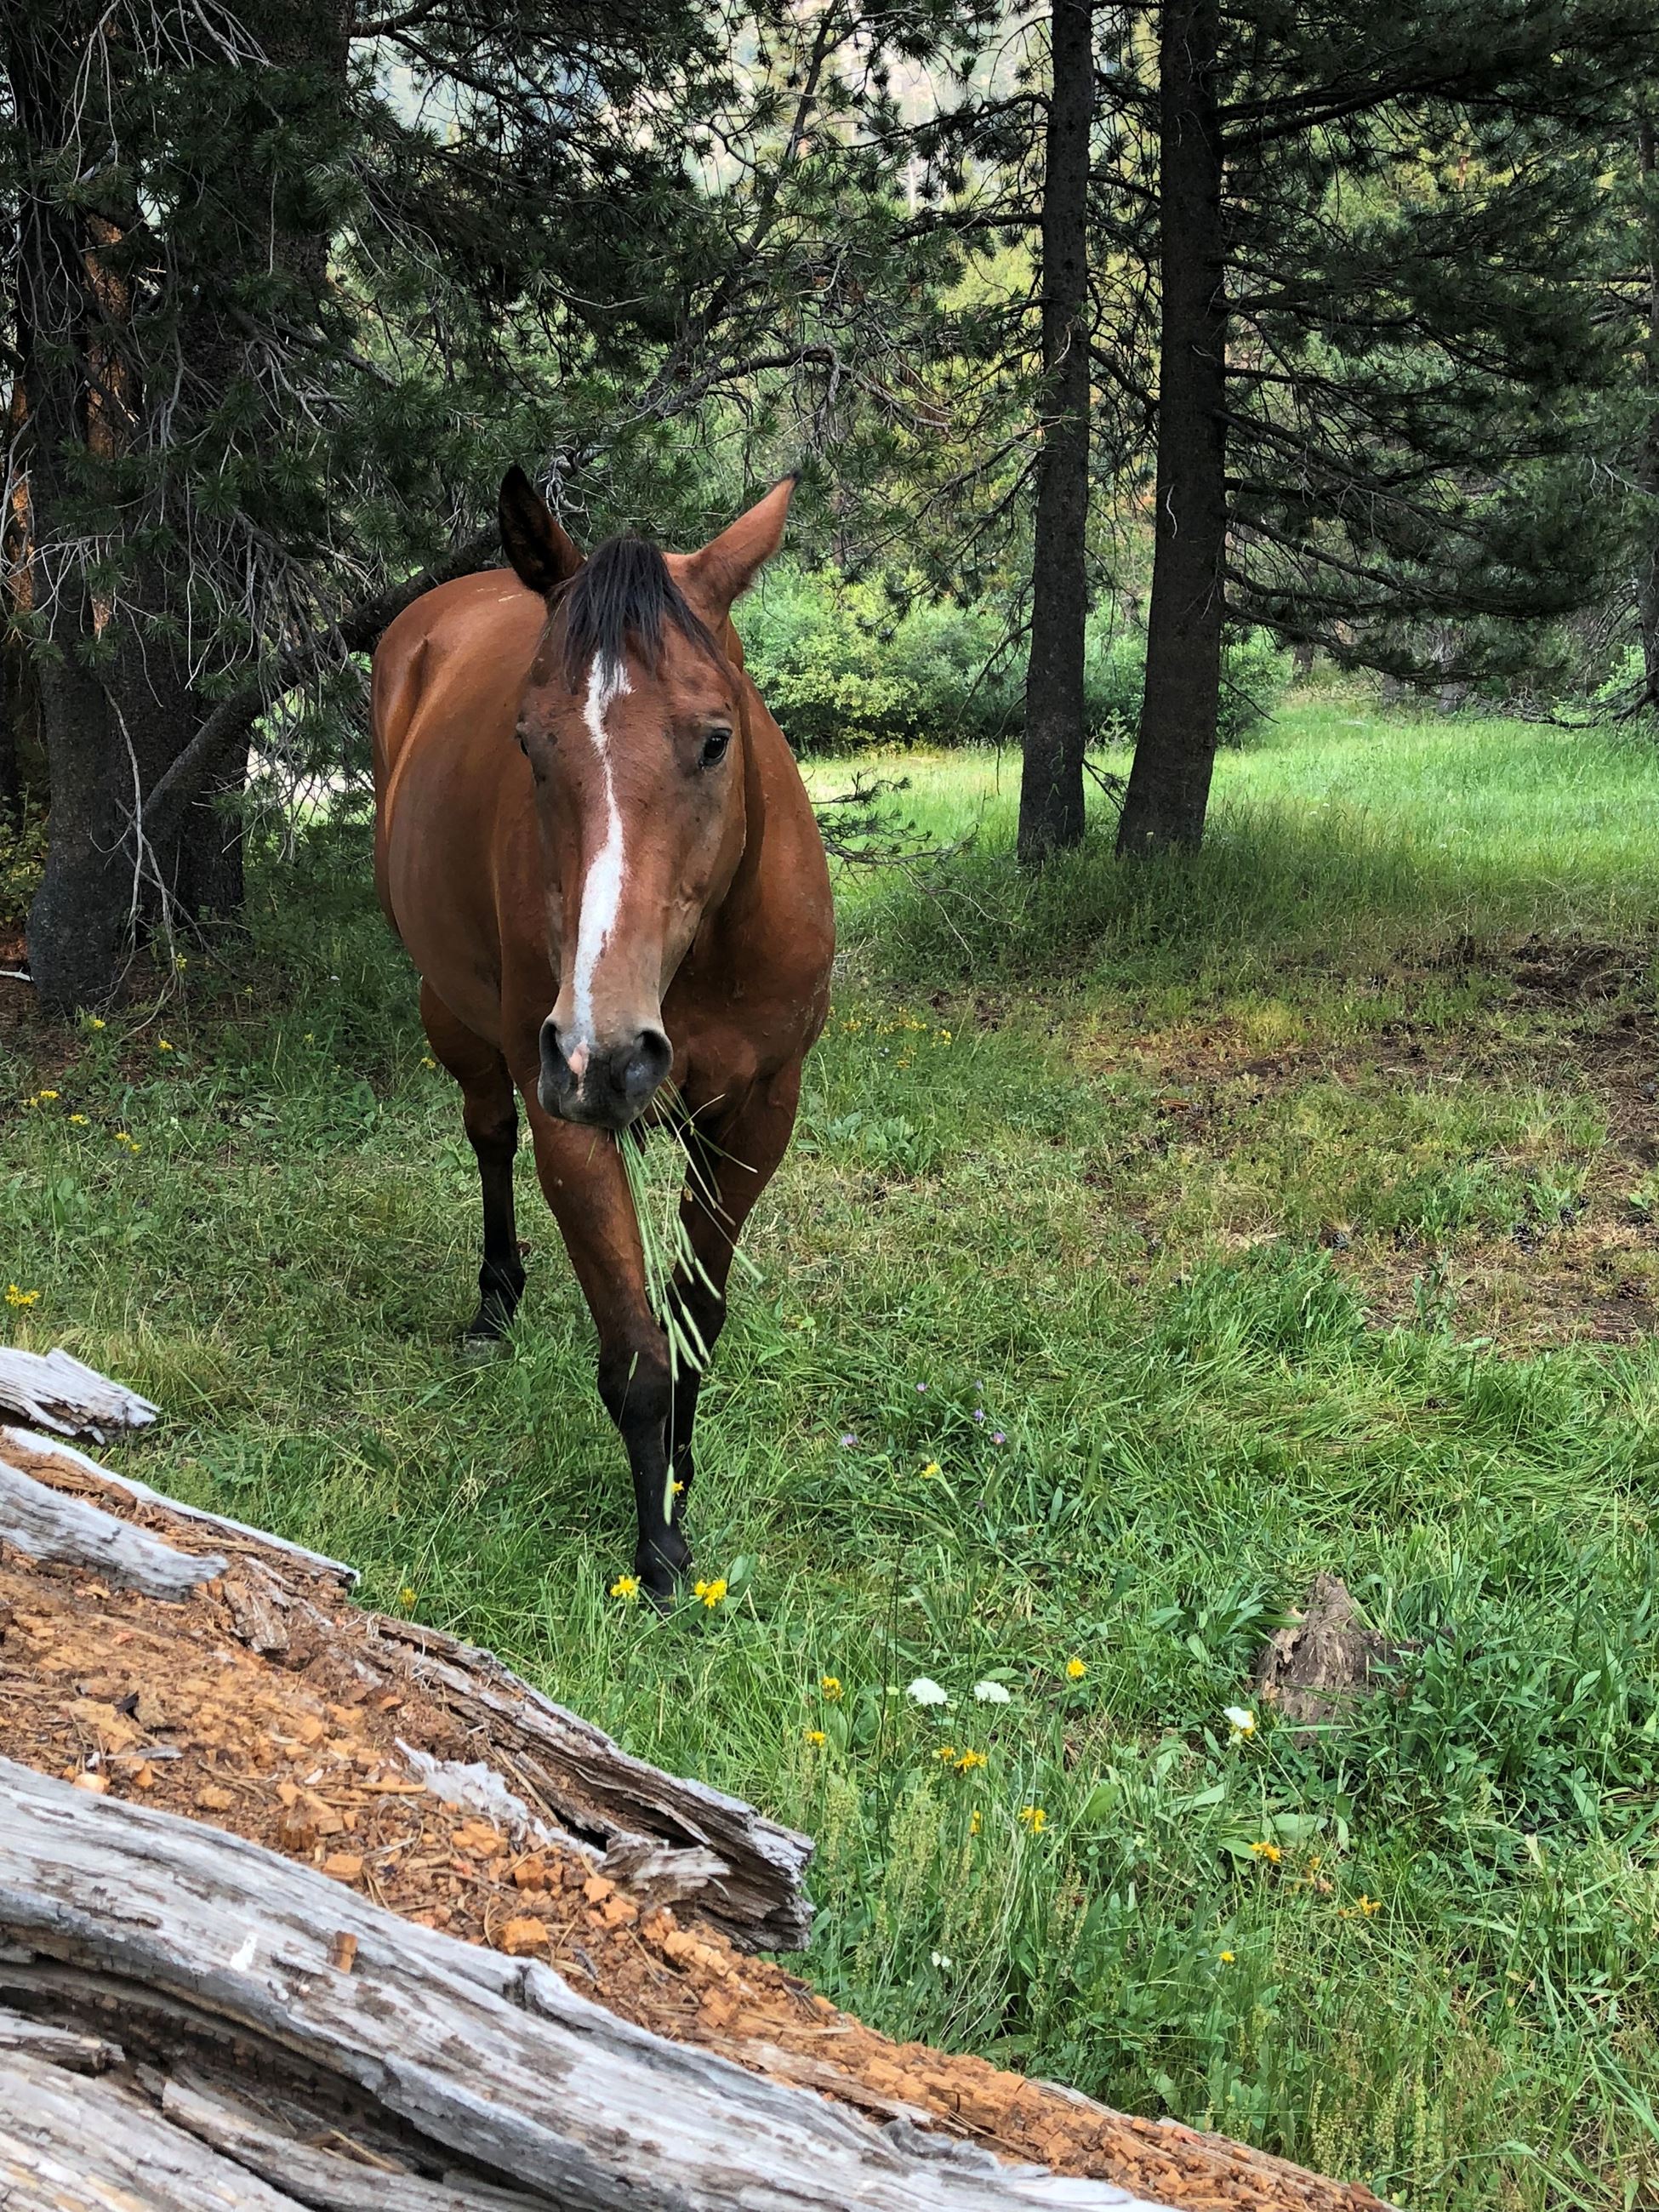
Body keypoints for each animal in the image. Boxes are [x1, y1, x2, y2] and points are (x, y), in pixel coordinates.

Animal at [371, 467, 834, 1600]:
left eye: (715, 736)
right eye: (529, 744)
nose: (606, 1054)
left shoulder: (757, 1117)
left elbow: (694, 1320)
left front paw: (683, 1477)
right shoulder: (570, 1125)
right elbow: (634, 1351)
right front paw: (658, 1551)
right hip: (452, 1014)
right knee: (488, 1132)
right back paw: (495, 1300)